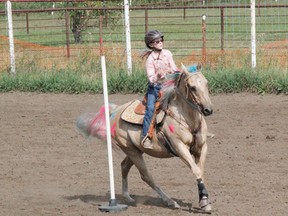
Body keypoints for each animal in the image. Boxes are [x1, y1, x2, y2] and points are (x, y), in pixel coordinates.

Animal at [77, 63, 213, 212]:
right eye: (193, 87)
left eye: (206, 83)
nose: (208, 110)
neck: (187, 119)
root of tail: (116, 111)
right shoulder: (180, 148)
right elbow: (196, 171)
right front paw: (205, 202)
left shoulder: (202, 148)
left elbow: (200, 171)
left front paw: (203, 200)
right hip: (132, 151)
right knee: (146, 176)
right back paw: (170, 201)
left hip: (135, 150)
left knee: (124, 166)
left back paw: (127, 197)